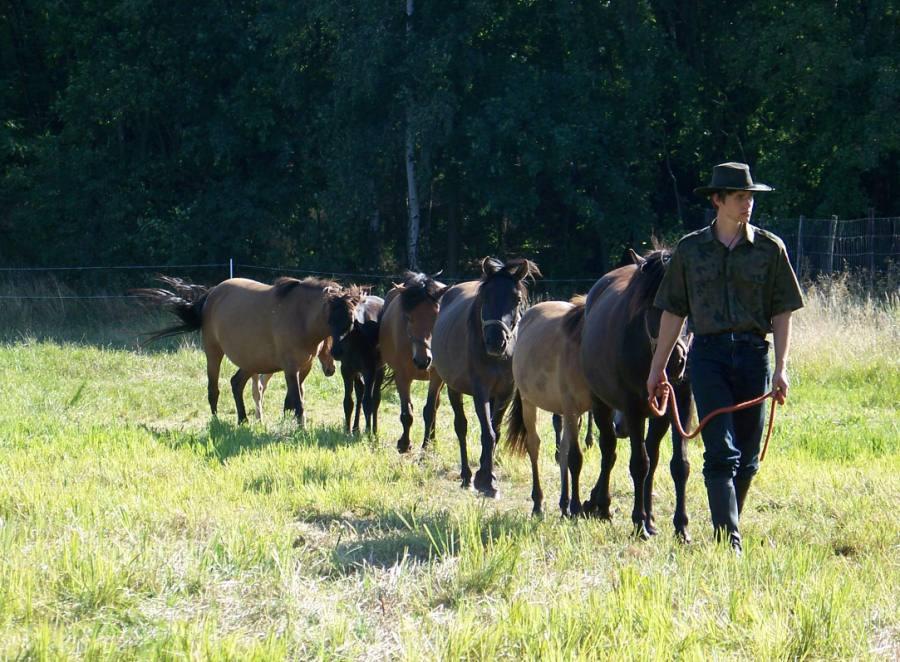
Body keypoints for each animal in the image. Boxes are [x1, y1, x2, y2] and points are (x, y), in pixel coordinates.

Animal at [137, 274, 362, 426]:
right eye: (330, 319)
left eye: (352, 320)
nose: (338, 354)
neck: (299, 317)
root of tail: (211, 294)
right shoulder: (291, 368)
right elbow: (297, 402)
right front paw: (301, 428)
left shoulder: (303, 367)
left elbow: (291, 400)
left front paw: (287, 424)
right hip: (213, 353)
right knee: (213, 389)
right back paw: (216, 421)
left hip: (251, 361)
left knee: (236, 383)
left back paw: (243, 420)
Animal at [380, 272, 450, 454]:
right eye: (408, 318)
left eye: (436, 316)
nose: (422, 361)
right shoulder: (402, 377)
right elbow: (407, 413)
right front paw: (404, 444)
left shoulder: (436, 377)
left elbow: (430, 411)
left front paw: (426, 445)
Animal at [430, 258, 536, 498]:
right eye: (486, 297)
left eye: (517, 299)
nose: (496, 341)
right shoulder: (481, 391)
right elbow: (487, 433)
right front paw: (484, 480)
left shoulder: (505, 393)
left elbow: (495, 431)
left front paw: (489, 476)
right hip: (453, 388)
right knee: (461, 426)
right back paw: (466, 476)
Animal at [510, 296, 596, 520]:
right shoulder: (571, 408)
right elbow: (575, 458)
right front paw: (576, 507)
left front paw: (571, 506)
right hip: (529, 403)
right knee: (534, 445)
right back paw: (538, 503)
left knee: (562, 449)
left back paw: (563, 504)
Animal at [576, 252, 696, 544]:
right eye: (653, 306)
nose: (675, 361)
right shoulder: (632, 408)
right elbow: (638, 464)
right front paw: (638, 522)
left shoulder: (681, 404)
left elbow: (679, 465)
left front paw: (681, 527)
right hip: (601, 404)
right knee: (609, 451)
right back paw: (603, 504)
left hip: (659, 414)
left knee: (652, 453)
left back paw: (649, 518)